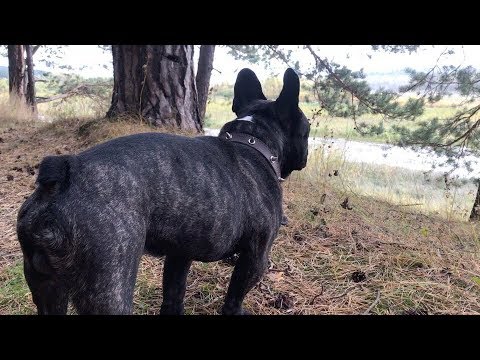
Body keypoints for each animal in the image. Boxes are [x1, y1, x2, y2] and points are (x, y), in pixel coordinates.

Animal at [16, 68, 310, 316]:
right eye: (307, 131)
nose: (306, 155)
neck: (253, 140)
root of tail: (64, 173)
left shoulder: (180, 254)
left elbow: (173, 293)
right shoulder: (255, 257)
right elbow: (235, 295)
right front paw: (236, 311)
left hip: (45, 284)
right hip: (108, 285)